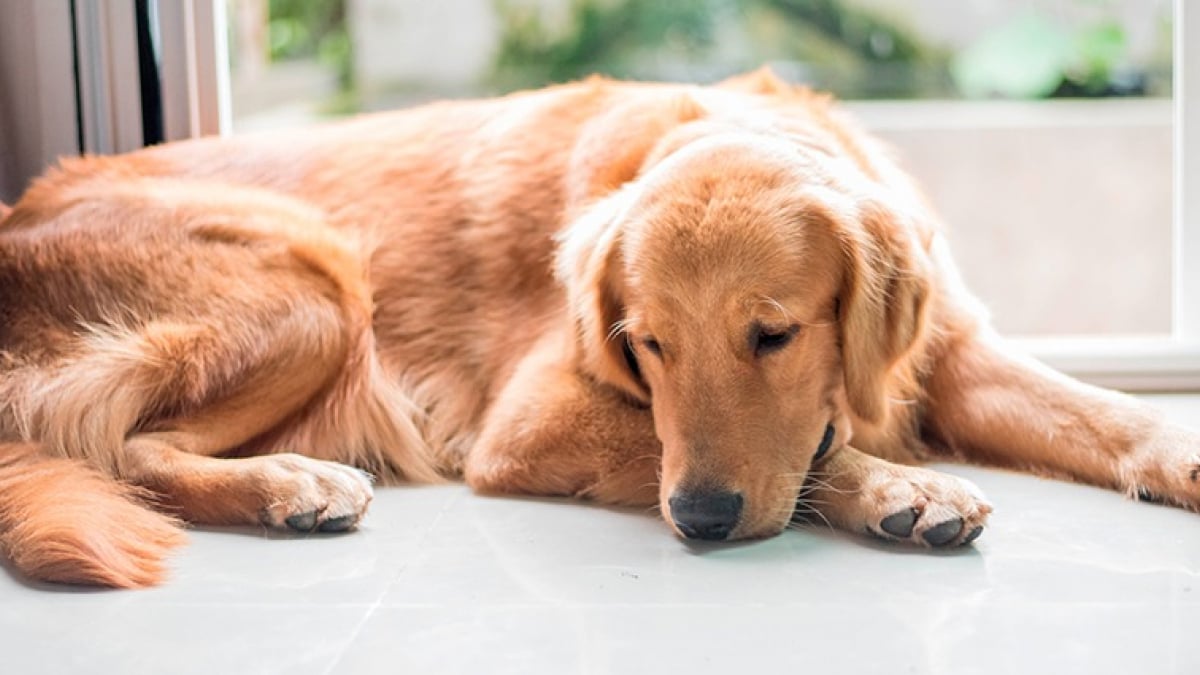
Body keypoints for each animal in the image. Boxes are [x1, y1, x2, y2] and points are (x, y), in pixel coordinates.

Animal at [2, 69, 1200, 583]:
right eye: (646, 344)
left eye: (773, 335)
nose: (703, 520)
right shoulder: (526, 423)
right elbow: (815, 457)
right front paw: (899, 485)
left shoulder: (950, 349)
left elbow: (1099, 411)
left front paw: (1177, 450)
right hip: (316, 281)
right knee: (122, 446)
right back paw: (288, 484)